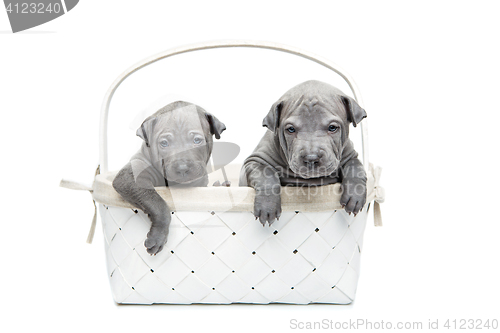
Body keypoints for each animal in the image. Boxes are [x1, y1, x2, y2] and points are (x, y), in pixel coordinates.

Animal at [112, 100, 226, 253]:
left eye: (197, 140)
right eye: (164, 143)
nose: (182, 168)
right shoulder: (130, 177)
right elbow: (157, 203)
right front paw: (158, 236)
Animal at [240, 80, 370, 226]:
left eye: (332, 127)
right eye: (291, 129)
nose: (311, 158)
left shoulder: (350, 155)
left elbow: (355, 168)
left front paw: (355, 196)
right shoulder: (254, 160)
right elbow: (266, 174)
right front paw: (267, 206)